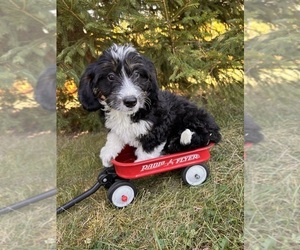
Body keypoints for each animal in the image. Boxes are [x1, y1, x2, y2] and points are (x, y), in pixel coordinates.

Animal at [78, 44, 221, 167]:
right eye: (110, 76)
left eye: (136, 74)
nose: (130, 101)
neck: (129, 114)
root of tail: (214, 131)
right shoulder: (115, 126)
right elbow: (114, 135)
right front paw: (108, 153)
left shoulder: (158, 126)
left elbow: (148, 148)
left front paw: (142, 165)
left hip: (193, 118)